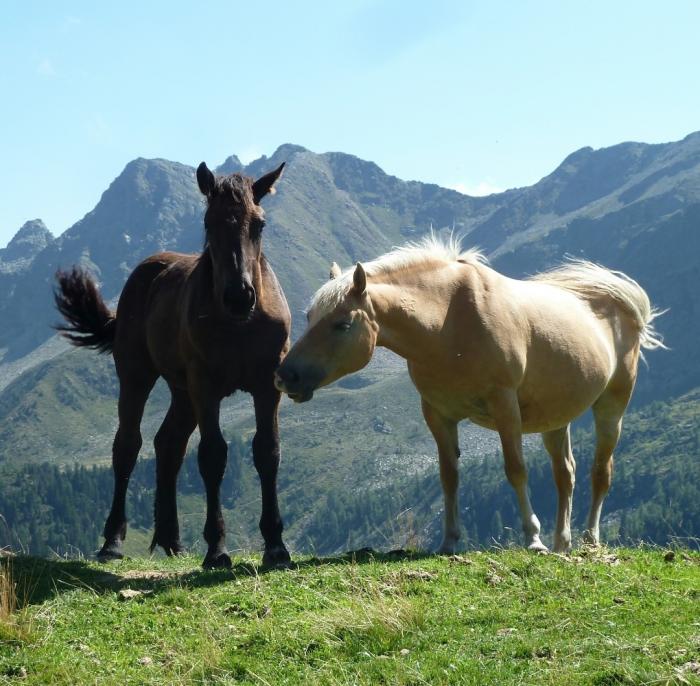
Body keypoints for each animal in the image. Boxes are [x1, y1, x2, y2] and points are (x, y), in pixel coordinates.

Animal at [54, 161, 290, 568]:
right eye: (209, 223)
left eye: (259, 224)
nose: (239, 296)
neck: (241, 325)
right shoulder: (206, 386)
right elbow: (213, 456)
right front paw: (216, 549)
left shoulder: (265, 387)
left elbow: (267, 452)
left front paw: (276, 546)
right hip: (138, 376)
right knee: (128, 446)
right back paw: (113, 541)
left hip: (182, 392)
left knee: (168, 445)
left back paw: (171, 540)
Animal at [276, 236, 664, 552]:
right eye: (309, 317)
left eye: (342, 324)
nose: (285, 376)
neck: (448, 322)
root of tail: (624, 306)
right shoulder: (437, 414)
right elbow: (449, 477)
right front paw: (449, 541)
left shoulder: (504, 405)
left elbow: (516, 469)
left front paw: (532, 538)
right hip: (556, 417)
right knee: (564, 474)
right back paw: (561, 544)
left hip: (612, 406)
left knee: (601, 472)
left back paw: (588, 540)